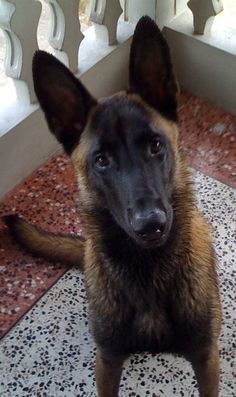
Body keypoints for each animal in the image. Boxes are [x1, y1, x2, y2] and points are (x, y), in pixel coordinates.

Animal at [4, 16, 221, 396]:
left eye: (155, 145)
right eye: (102, 160)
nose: (151, 224)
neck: (148, 269)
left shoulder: (206, 361)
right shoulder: (107, 363)